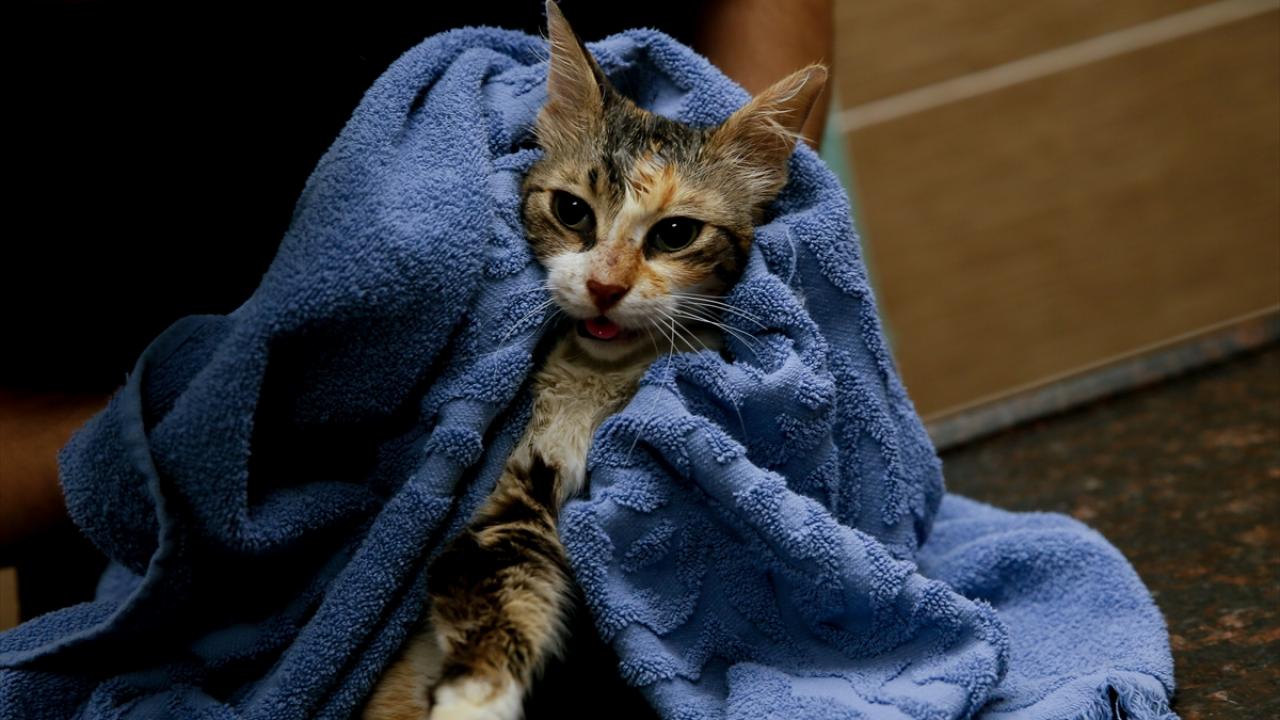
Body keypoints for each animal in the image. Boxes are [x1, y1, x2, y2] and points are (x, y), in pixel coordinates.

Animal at [364, 3, 825, 719]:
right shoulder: (514, 475)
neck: (589, 384)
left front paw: (470, 700)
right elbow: (499, 577)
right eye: (571, 210)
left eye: (675, 233)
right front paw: (472, 698)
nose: (606, 286)